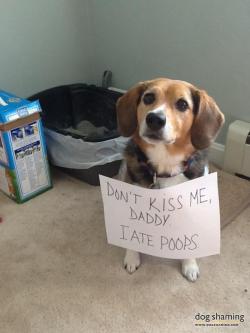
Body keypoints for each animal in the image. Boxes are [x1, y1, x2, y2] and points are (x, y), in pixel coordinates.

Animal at [116, 77, 224, 280]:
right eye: (148, 98)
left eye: (182, 104)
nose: (155, 119)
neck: (164, 163)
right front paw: (132, 258)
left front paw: (190, 265)